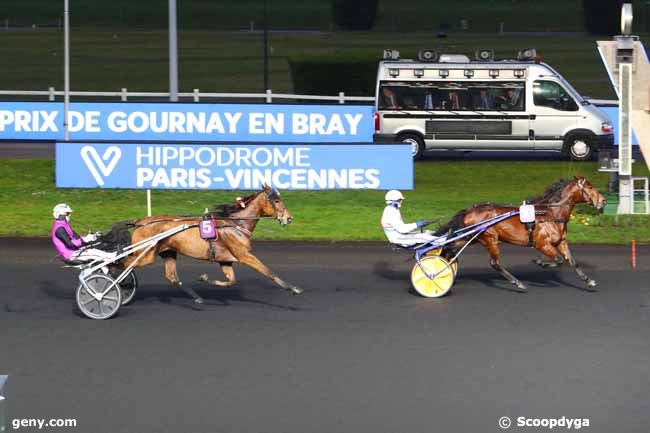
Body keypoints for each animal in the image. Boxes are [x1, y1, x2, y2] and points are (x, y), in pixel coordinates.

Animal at [117, 184, 302, 302]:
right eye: (276, 201)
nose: (289, 218)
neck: (235, 223)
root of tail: (140, 221)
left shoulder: (225, 260)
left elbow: (231, 280)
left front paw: (204, 278)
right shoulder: (244, 255)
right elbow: (268, 271)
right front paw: (293, 288)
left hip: (167, 251)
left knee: (171, 276)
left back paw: (197, 297)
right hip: (145, 255)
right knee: (120, 266)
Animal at [436, 177, 608, 292]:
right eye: (590, 187)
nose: (604, 201)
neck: (551, 213)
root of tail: (469, 210)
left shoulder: (561, 242)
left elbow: (571, 261)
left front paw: (589, 281)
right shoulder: (541, 244)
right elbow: (558, 260)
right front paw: (540, 262)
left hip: (472, 238)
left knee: (449, 248)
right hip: (490, 238)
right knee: (494, 263)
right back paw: (517, 282)